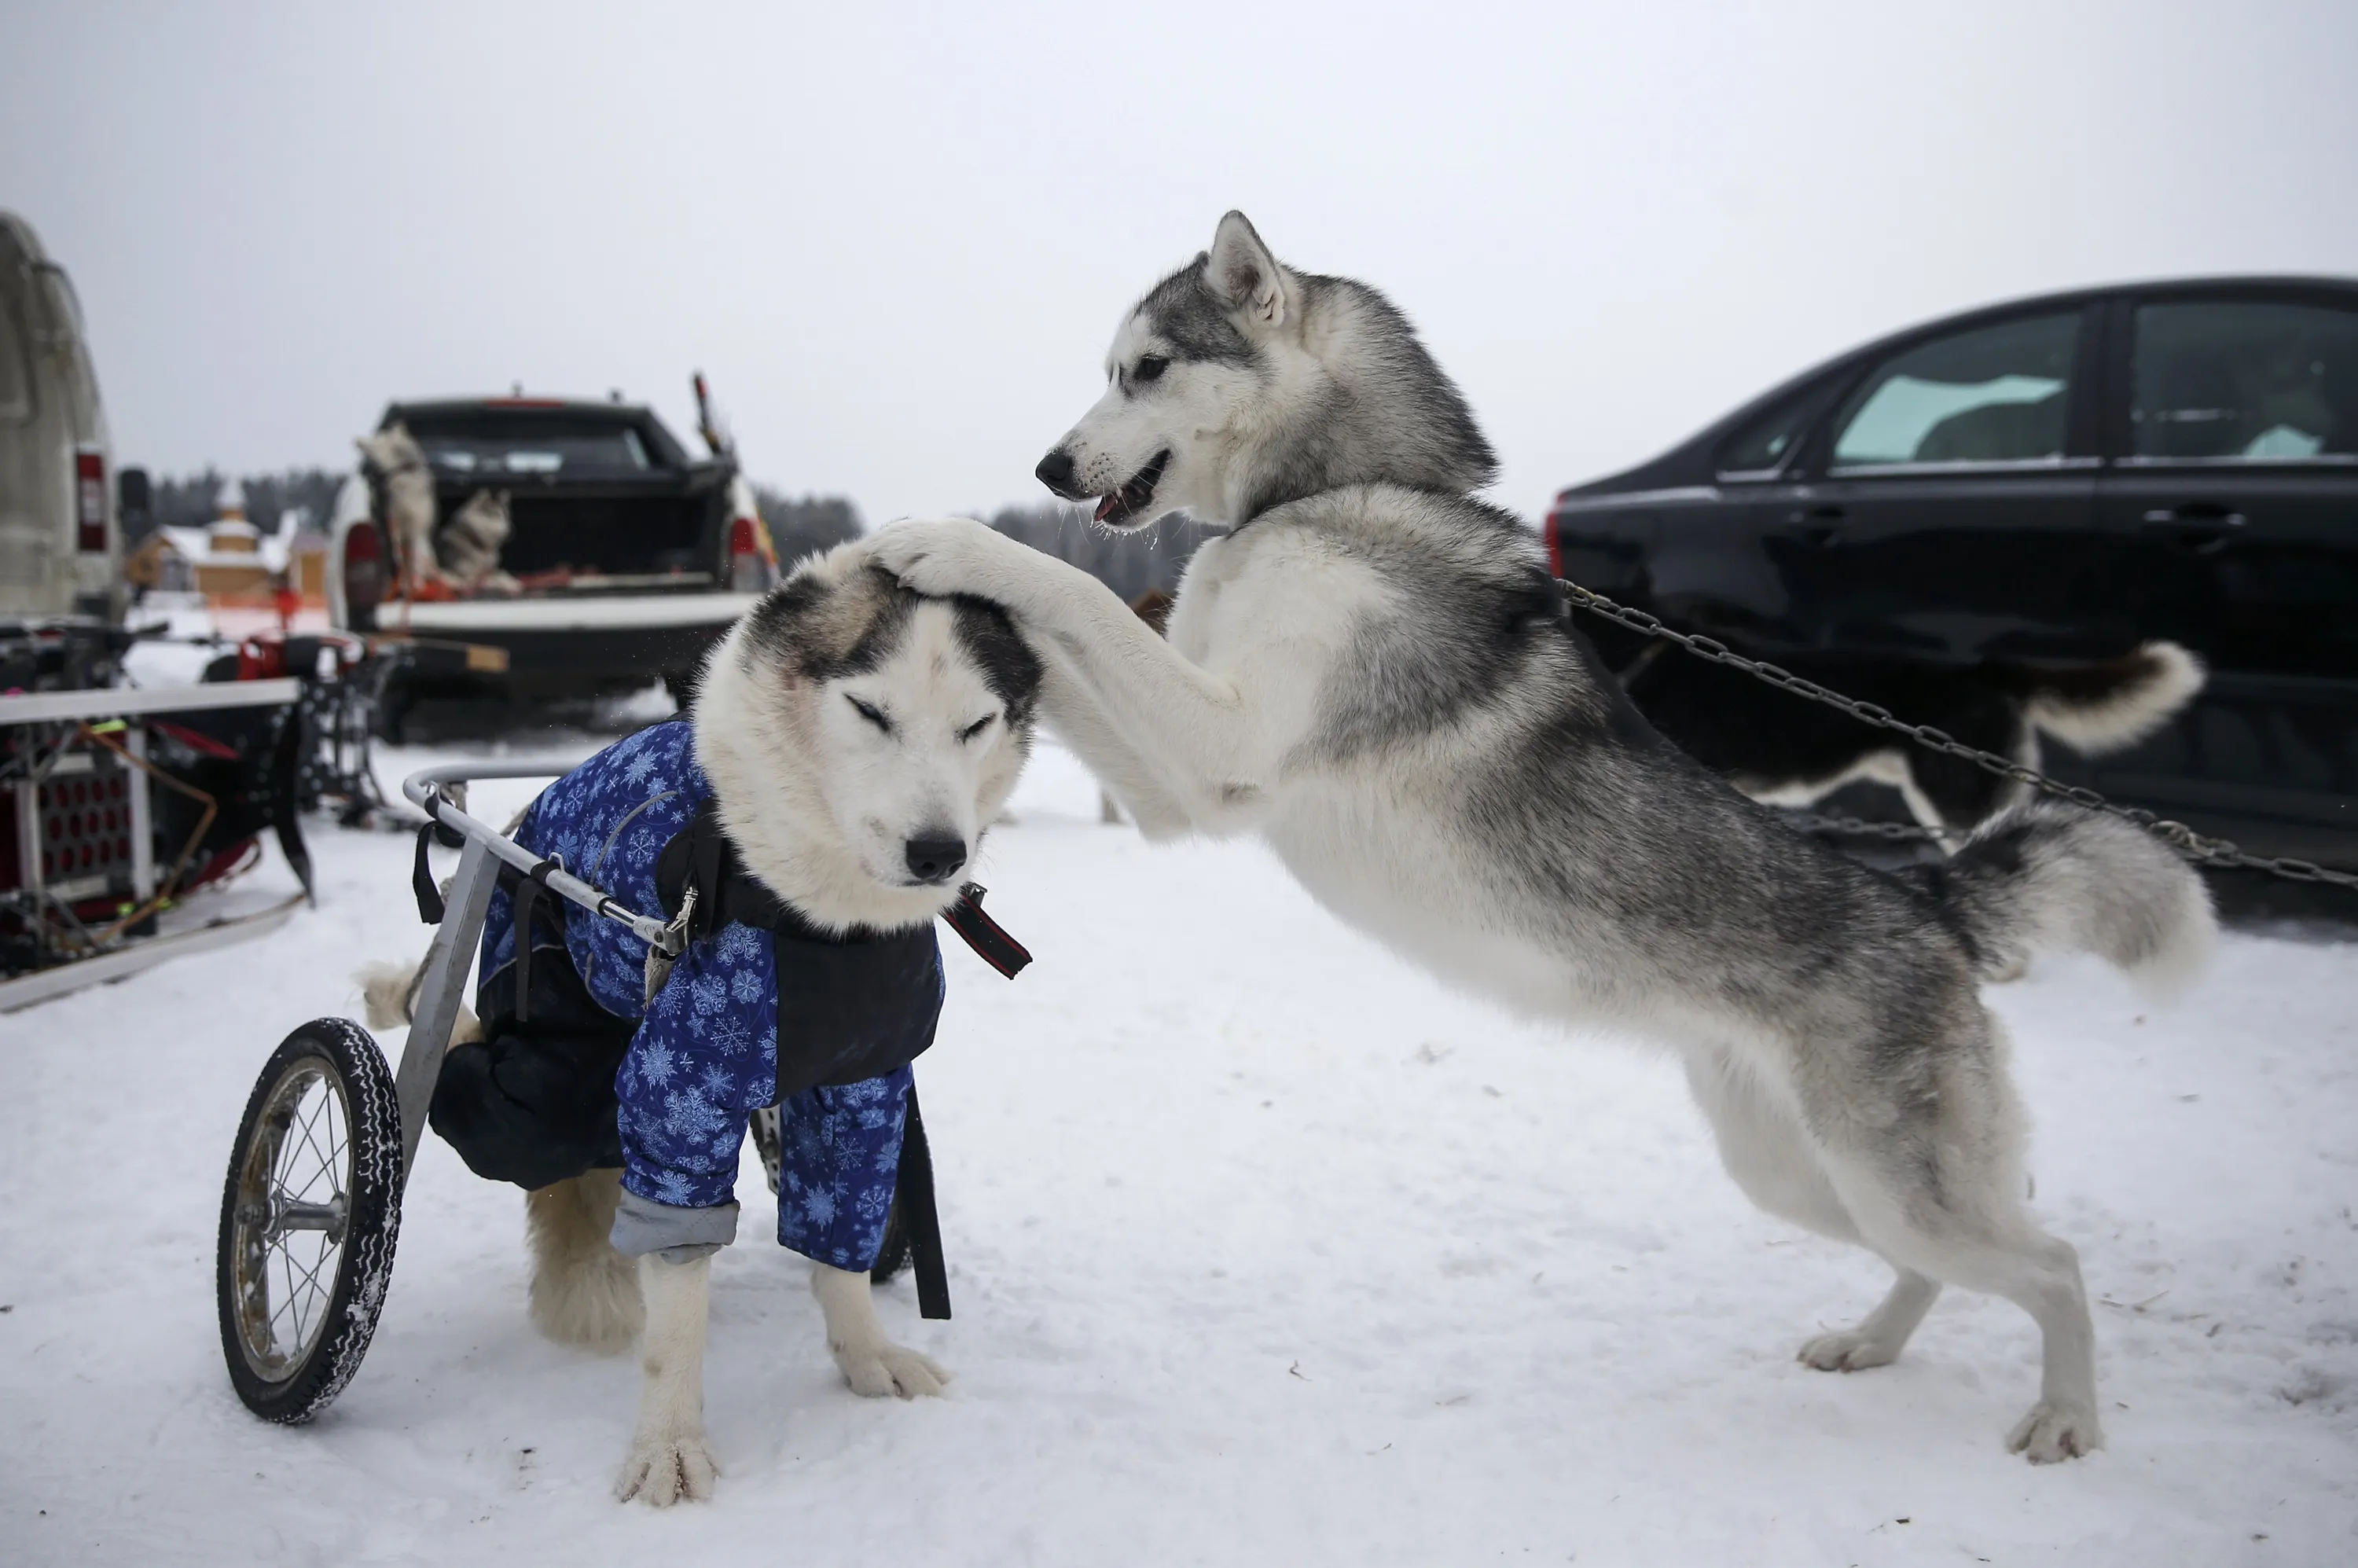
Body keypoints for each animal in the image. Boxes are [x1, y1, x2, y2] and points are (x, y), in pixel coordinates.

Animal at [363, 542, 1038, 1509]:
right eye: (870, 711)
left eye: (976, 723)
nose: (939, 851)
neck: (818, 921)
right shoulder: (682, 1096)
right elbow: (677, 1298)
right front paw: (670, 1441)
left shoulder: (865, 1087)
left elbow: (840, 1238)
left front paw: (865, 1356)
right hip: (540, 1044)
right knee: (487, 1083)